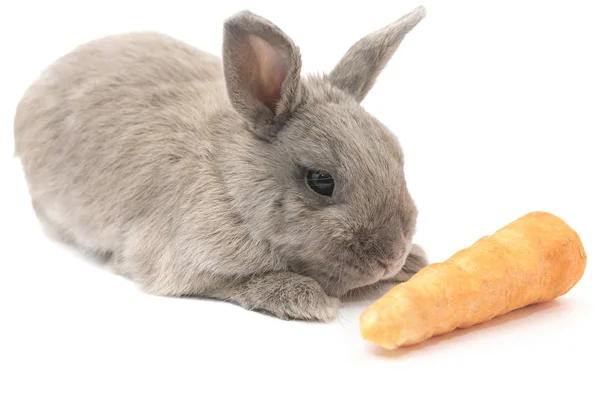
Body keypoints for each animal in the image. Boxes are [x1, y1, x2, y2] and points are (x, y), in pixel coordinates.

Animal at [12, 5, 426, 322]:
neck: (231, 185)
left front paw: (415, 263)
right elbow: (237, 281)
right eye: (320, 180)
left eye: (397, 154)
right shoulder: (183, 263)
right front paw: (308, 299)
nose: (390, 259)